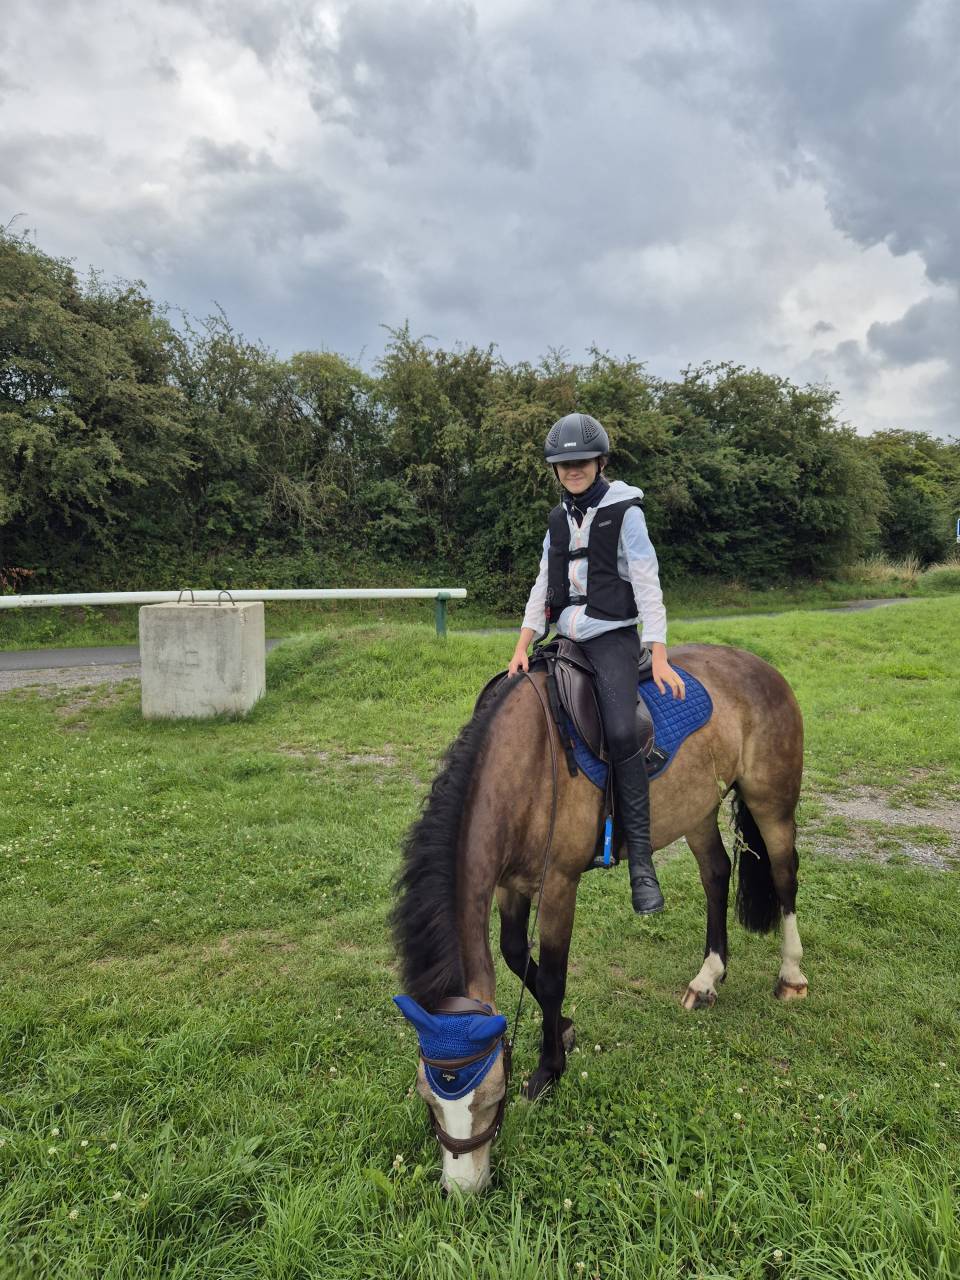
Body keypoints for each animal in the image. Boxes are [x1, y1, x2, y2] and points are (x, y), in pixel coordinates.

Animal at [391, 642, 807, 1192]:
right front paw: (564, 1030)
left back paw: (792, 975)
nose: (464, 1189)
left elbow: (550, 980)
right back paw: (707, 977)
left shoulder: (559, 883)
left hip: (771, 802)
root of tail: (761, 667)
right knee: (716, 875)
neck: (523, 763)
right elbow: (514, 954)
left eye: (493, 1095)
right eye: (428, 1097)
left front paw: (549, 1070)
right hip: (696, 806)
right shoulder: (509, 883)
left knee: (785, 878)